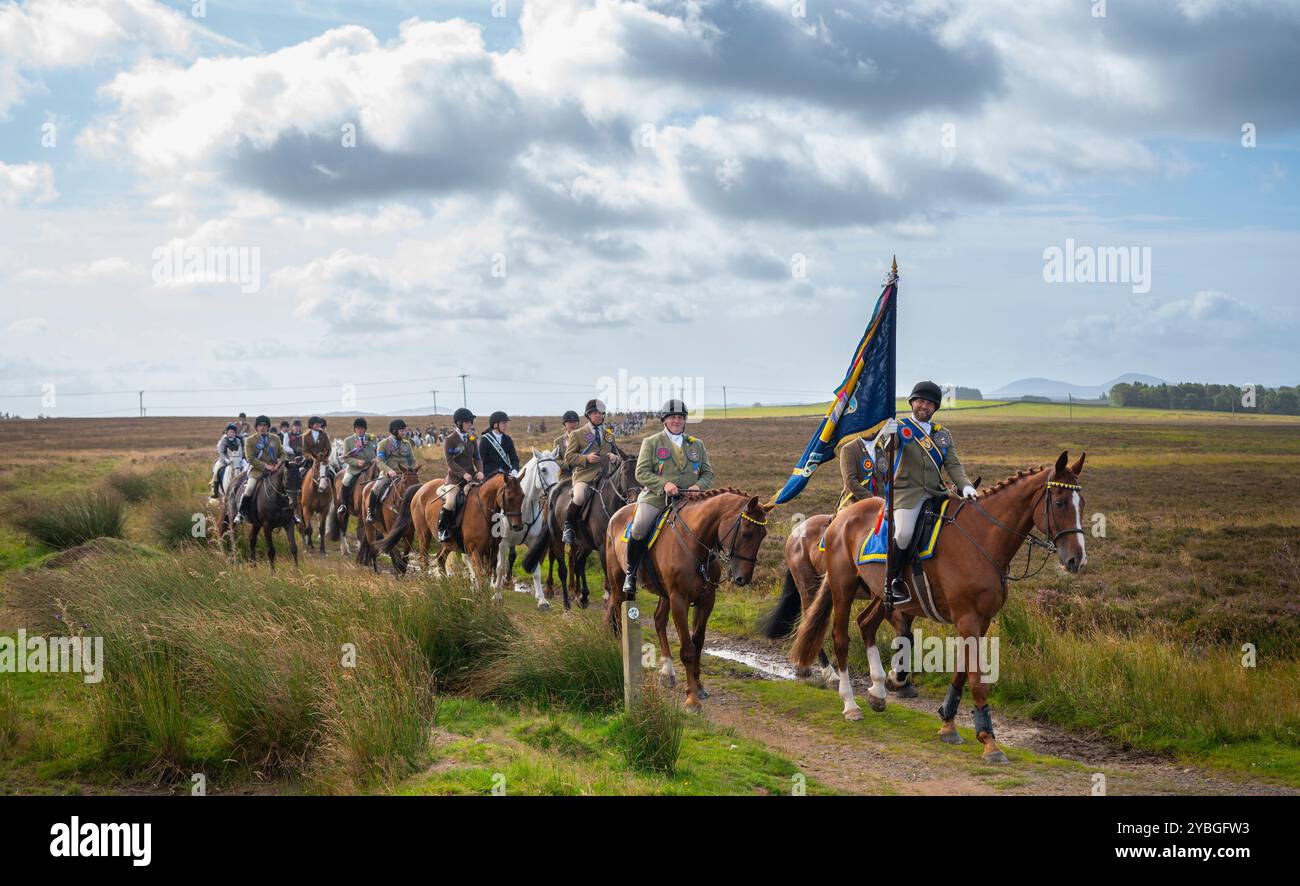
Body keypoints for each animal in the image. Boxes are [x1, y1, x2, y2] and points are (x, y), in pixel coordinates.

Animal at [488, 449, 561, 607]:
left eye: (558, 469)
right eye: (543, 470)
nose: (555, 493)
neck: (523, 508)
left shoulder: (533, 543)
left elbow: (536, 571)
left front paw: (541, 599)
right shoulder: (503, 543)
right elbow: (500, 567)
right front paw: (497, 595)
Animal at [520, 454, 637, 607]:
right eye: (624, 472)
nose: (635, 499)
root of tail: (553, 490)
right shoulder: (603, 548)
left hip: (585, 542)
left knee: (579, 561)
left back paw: (583, 596)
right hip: (557, 538)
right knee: (562, 568)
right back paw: (565, 602)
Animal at [605, 485, 774, 711]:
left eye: (763, 535)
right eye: (746, 533)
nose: (743, 579)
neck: (694, 542)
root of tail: (616, 515)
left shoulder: (706, 600)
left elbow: (698, 643)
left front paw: (699, 686)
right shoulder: (679, 600)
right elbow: (687, 649)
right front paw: (692, 699)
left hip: (664, 594)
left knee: (659, 620)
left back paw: (667, 672)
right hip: (618, 585)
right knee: (613, 611)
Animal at [759, 511, 920, 696]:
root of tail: (796, 532)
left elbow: (904, 635)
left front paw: (902, 680)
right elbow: (905, 633)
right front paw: (896, 679)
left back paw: (804, 667)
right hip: (808, 586)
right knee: (811, 622)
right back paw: (829, 673)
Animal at [790, 452, 1086, 763]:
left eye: (1082, 504)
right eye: (1060, 503)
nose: (1077, 559)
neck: (982, 538)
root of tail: (840, 518)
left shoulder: (980, 621)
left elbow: (961, 671)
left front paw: (948, 723)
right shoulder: (967, 618)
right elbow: (976, 679)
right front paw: (989, 740)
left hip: (882, 595)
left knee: (866, 624)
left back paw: (879, 690)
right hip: (843, 589)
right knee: (841, 638)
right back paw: (850, 703)